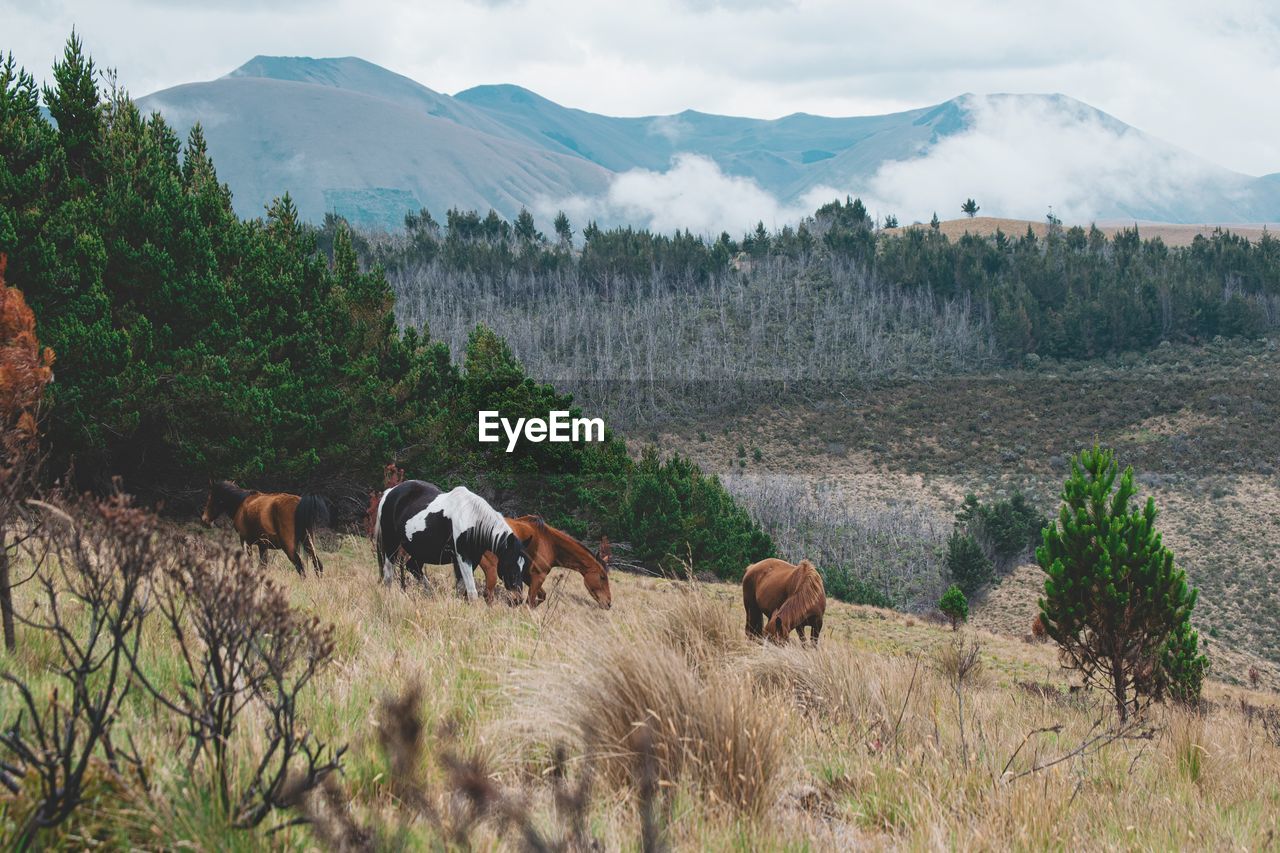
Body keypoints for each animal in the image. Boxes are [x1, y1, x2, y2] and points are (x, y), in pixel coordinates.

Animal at [200, 481, 330, 573]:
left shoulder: (245, 541)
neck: (241, 503)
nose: (204, 520)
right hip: (308, 542)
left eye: (210, 498)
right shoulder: (263, 545)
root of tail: (299, 503)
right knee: (318, 565)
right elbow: (262, 566)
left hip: (289, 546)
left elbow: (251, 564)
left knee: (300, 568)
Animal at [373, 473, 527, 601]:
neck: (470, 518)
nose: (518, 599)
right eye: (511, 565)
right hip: (391, 545)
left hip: (420, 551)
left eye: (522, 566)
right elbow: (471, 591)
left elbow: (461, 588)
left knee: (413, 568)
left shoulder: (473, 558)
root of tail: (389, 493)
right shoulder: (462, 557)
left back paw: (431, 594)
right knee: (388, 575)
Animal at [478, 514, 611, 607]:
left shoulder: (527, 576)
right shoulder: (538, 576)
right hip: (491, 569)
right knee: (488, 595)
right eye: (602, 577)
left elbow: (541, 596)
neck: (550, 544)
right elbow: (530, 601)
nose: (609, 603)